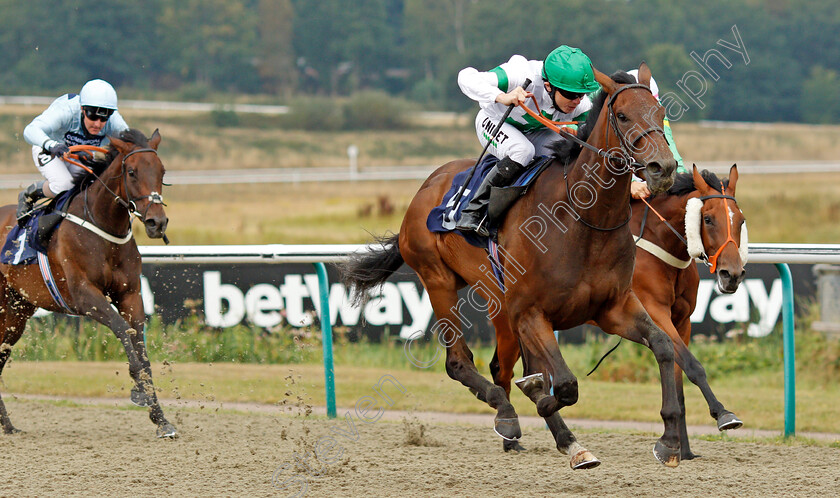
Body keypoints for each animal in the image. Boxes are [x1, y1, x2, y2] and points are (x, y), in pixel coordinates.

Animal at [0, 130, 176, 438]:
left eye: (162, 171)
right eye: (131, 172)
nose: (157, 222)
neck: (103, 230)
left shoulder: (130, 295)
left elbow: (139, 344)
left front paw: (160, 419)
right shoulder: (84, 296)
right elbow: (121, 328)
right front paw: (139, 391)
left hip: (16, 312)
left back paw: (8, 426)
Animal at [342, 64, 720, 468]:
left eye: (660, 113)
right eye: (622, 116)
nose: (662, 168)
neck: (582, 221)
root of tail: (426, 186)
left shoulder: (613, 307)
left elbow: (664, 346)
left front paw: (669, 441)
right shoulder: (532, 312)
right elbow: (564, 384)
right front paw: (538, 399)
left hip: (498, 300)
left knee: (503, 367)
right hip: (438, 279)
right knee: (459, 362)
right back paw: (509, 415)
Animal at [492, 165, 748, 462]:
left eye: (741, 221)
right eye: (707, 219)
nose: (732, 274)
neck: (660, 244)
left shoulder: (682, 320)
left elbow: (680, 375)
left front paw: (682, 448)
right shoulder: (654, 311)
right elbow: (692, 364)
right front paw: (723, 414)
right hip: (512, 318)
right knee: (503, 370)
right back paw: (511, 430)